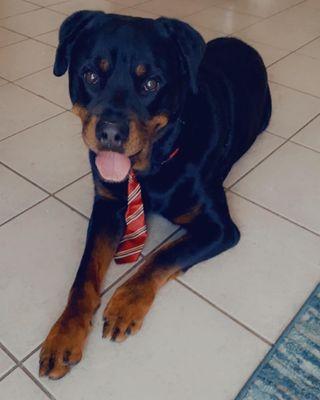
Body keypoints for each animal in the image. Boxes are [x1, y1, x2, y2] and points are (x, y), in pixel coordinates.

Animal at [38, 10, 272, 380]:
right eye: (90, 75)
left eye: (151, 84)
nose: (110, 133)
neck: (150, 168)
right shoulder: (106, 207)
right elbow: (84, 274)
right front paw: (64, 333)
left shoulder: (219, 227)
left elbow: (163, 256)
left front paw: (124, 304)